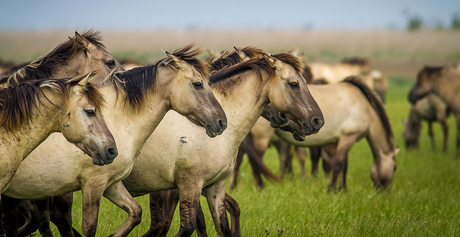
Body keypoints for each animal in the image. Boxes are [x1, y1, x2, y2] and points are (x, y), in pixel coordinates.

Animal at [1, 45, 226, 237]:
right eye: (198, 84)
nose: (222, 122)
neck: (119, 118)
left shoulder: (112, 183)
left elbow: (135, 213)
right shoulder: (92, 184)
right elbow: (87, 227)